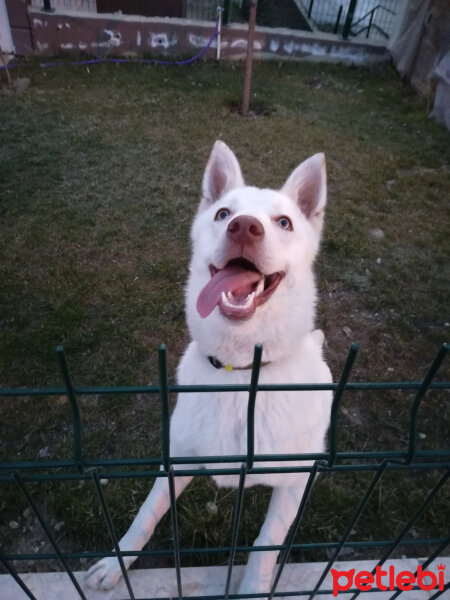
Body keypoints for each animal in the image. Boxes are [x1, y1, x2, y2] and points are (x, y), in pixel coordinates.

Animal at [88, 141, 332, 596]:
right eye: (223, 213)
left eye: (284, 222)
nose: (244, 227)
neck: (241, 373)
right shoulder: (177, 458)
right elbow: (147, 513)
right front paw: (117, 562)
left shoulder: (293, 481)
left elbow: (266, 543)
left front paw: (253, 588)